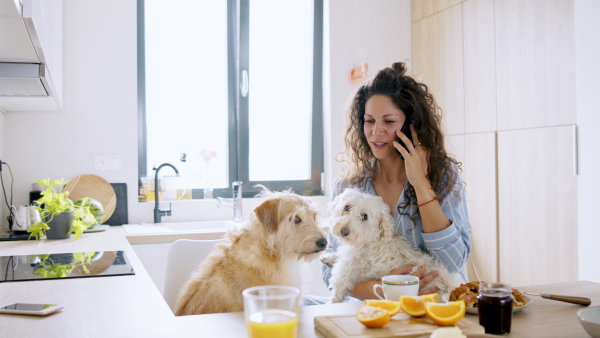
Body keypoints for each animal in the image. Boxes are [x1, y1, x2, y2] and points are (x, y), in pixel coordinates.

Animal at [322, 189, 462, 302]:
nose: (344, 231)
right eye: (347, 207)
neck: (370, 241)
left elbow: (337, 293)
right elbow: (338, 255)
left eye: (364, 217)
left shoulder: (346, 272)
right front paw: (328, 258)